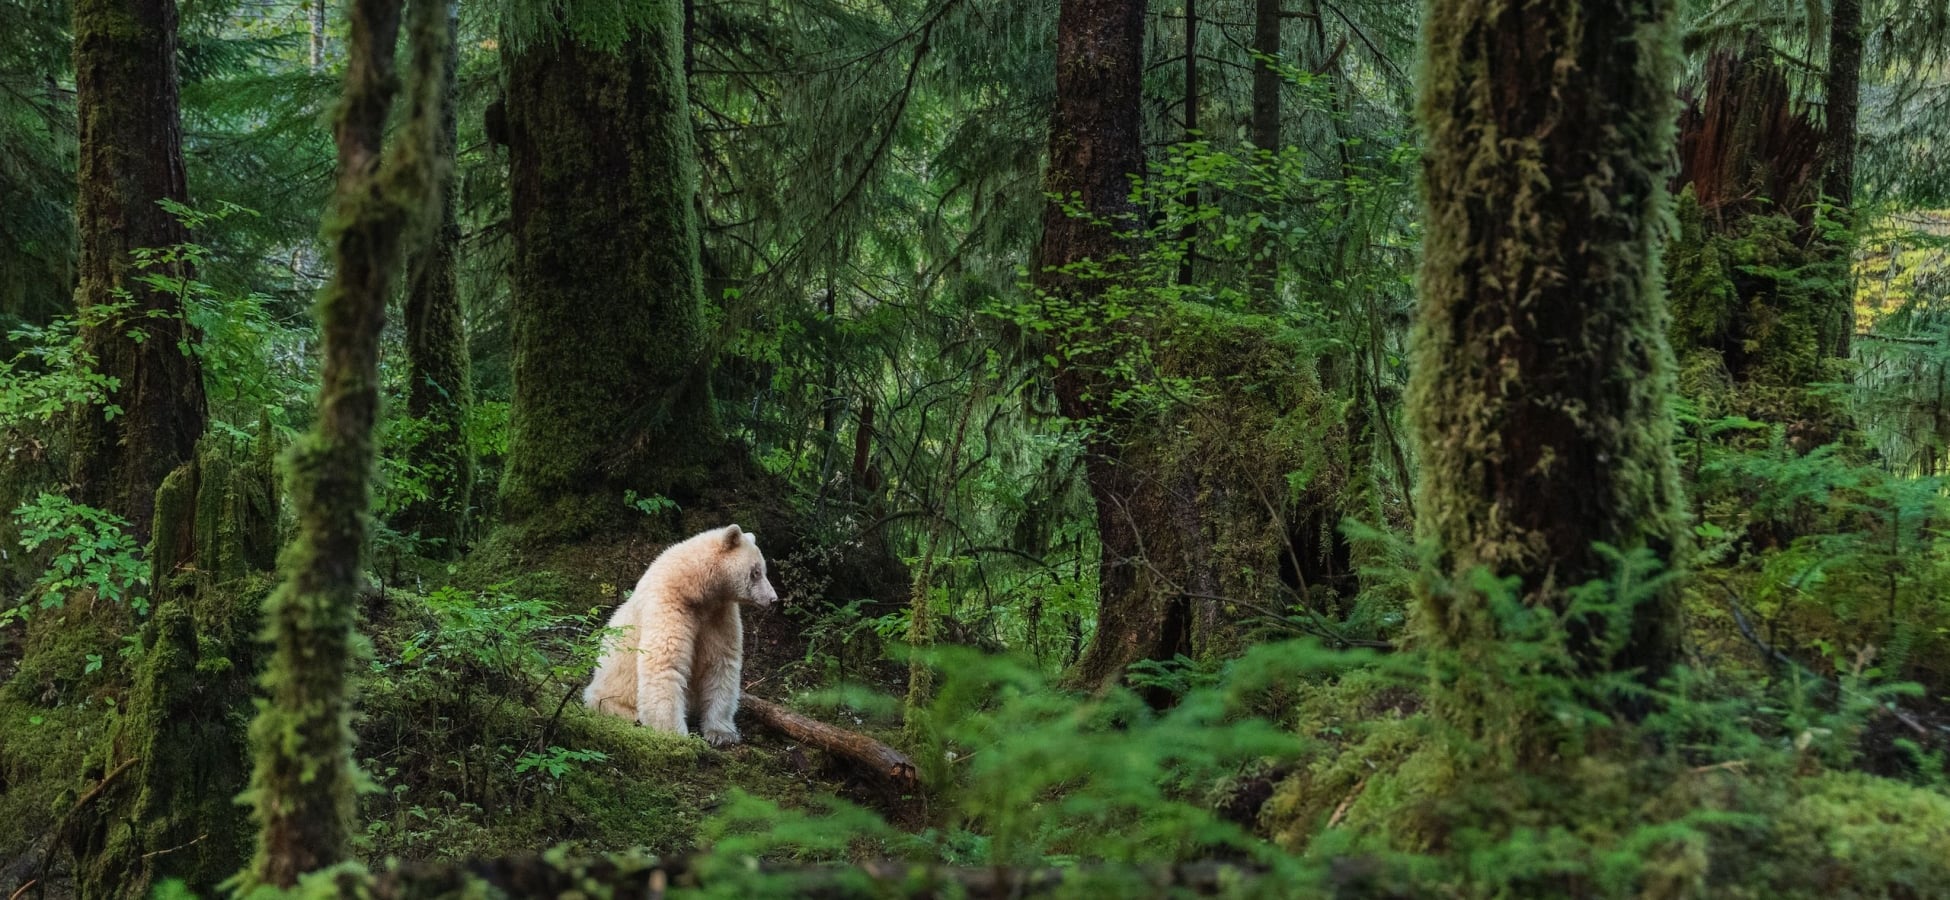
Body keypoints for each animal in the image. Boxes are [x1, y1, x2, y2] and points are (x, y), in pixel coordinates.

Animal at [582, 524, 779, 746]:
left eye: (763, 570)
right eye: (756, 572)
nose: (773, 599)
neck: (693, 586)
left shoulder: (718, 614)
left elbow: (721, 662)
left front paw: (722, 733)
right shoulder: (668, 603)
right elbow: (665, 662)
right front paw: (675, 734)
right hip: (610, 691)